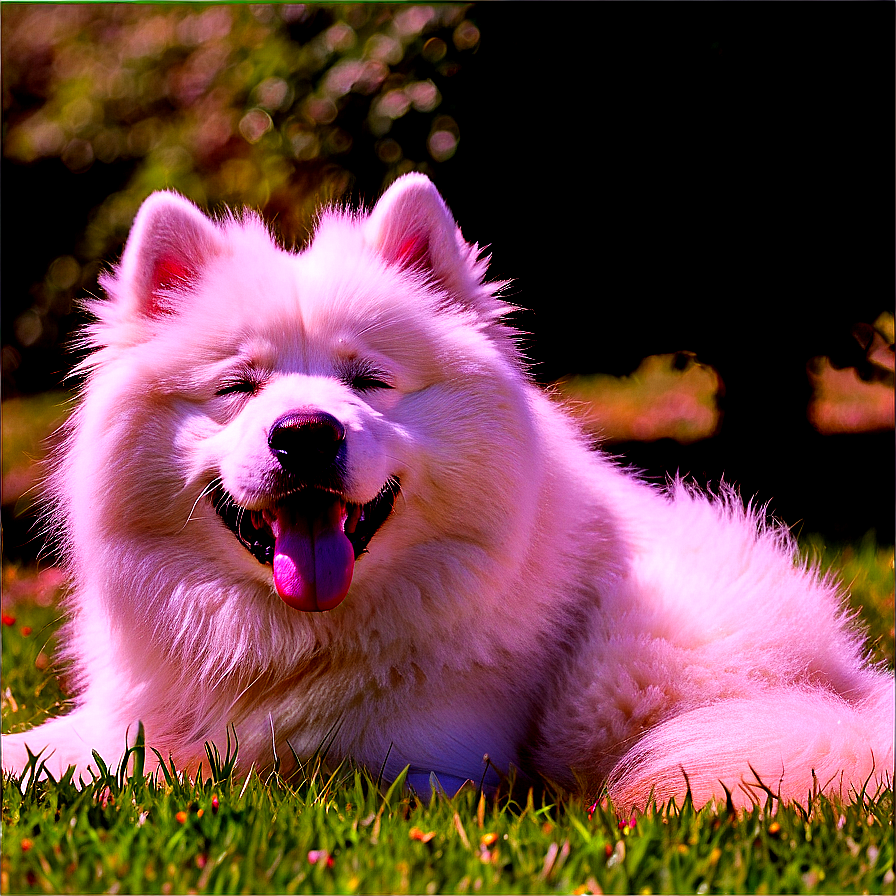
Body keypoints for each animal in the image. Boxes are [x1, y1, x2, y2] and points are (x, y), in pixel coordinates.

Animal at [3, 173, 892, 804]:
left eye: (367, 380)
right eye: (237, 387)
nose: (306, 433)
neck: (286, 640)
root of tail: (852, 694)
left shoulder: (425, 767)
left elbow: (253, 771)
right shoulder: (134, 709)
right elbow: (65, 745)